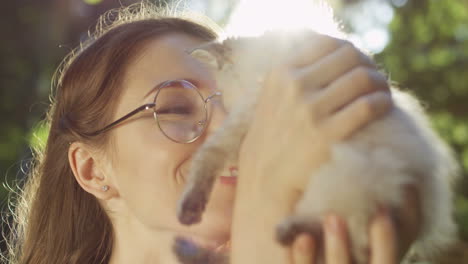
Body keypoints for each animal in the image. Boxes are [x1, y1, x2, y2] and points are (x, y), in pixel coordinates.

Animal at [174, 29, 458, 262]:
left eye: (222, 97)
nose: (225, 109)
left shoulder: (245, 117)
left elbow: (208, 155)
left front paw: (189, 210)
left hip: (347, 178)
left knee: (341, 232)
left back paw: (287, 231)